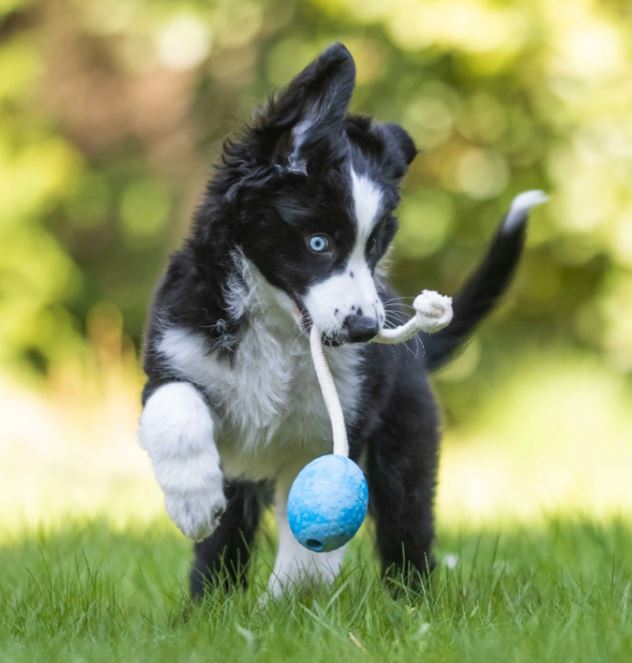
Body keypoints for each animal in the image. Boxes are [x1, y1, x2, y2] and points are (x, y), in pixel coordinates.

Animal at [138, 44, 544, 600]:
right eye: (318, 243)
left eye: (373, 247)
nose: (365, 331)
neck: (279, 331)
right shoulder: (173, 354)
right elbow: (174, 408)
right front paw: (194, 502)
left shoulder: (337, 428)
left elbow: (313, 543)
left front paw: (284, 605)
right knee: (222, 545)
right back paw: (205, 608)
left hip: (405, 442)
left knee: (407, 529)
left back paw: (410, 606)